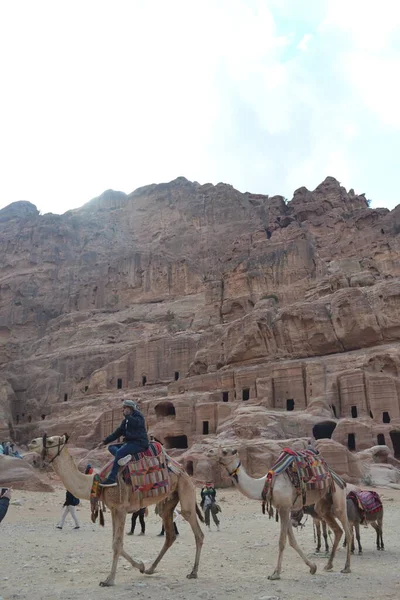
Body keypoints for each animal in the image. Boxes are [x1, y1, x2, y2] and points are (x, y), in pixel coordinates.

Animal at [28, 436, 205, 584]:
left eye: (50, 441)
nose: (32, 442)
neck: (97, 482)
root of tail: (181, 468)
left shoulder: (120, 508)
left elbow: (117, 544)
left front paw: (109, 580)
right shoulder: (113, 509)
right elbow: (115, 542)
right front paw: (141, 566)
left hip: (185, 487)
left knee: (196, 529)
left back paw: (193, 572)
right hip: (169, 501)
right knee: (170, 534)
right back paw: (150, 569)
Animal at [214, 448, 352, 580]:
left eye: (225, 451)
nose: (212, 453)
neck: (265, 484)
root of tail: (339, 479)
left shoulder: (284, 508)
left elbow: (282, 541)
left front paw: (275, 574)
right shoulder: (284, 509)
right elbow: (292, 541)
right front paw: (313, 567)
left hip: (338, 497)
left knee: (347, 531)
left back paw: (346, 567)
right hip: (322, 504)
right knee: (338, 530)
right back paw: (328, 565)